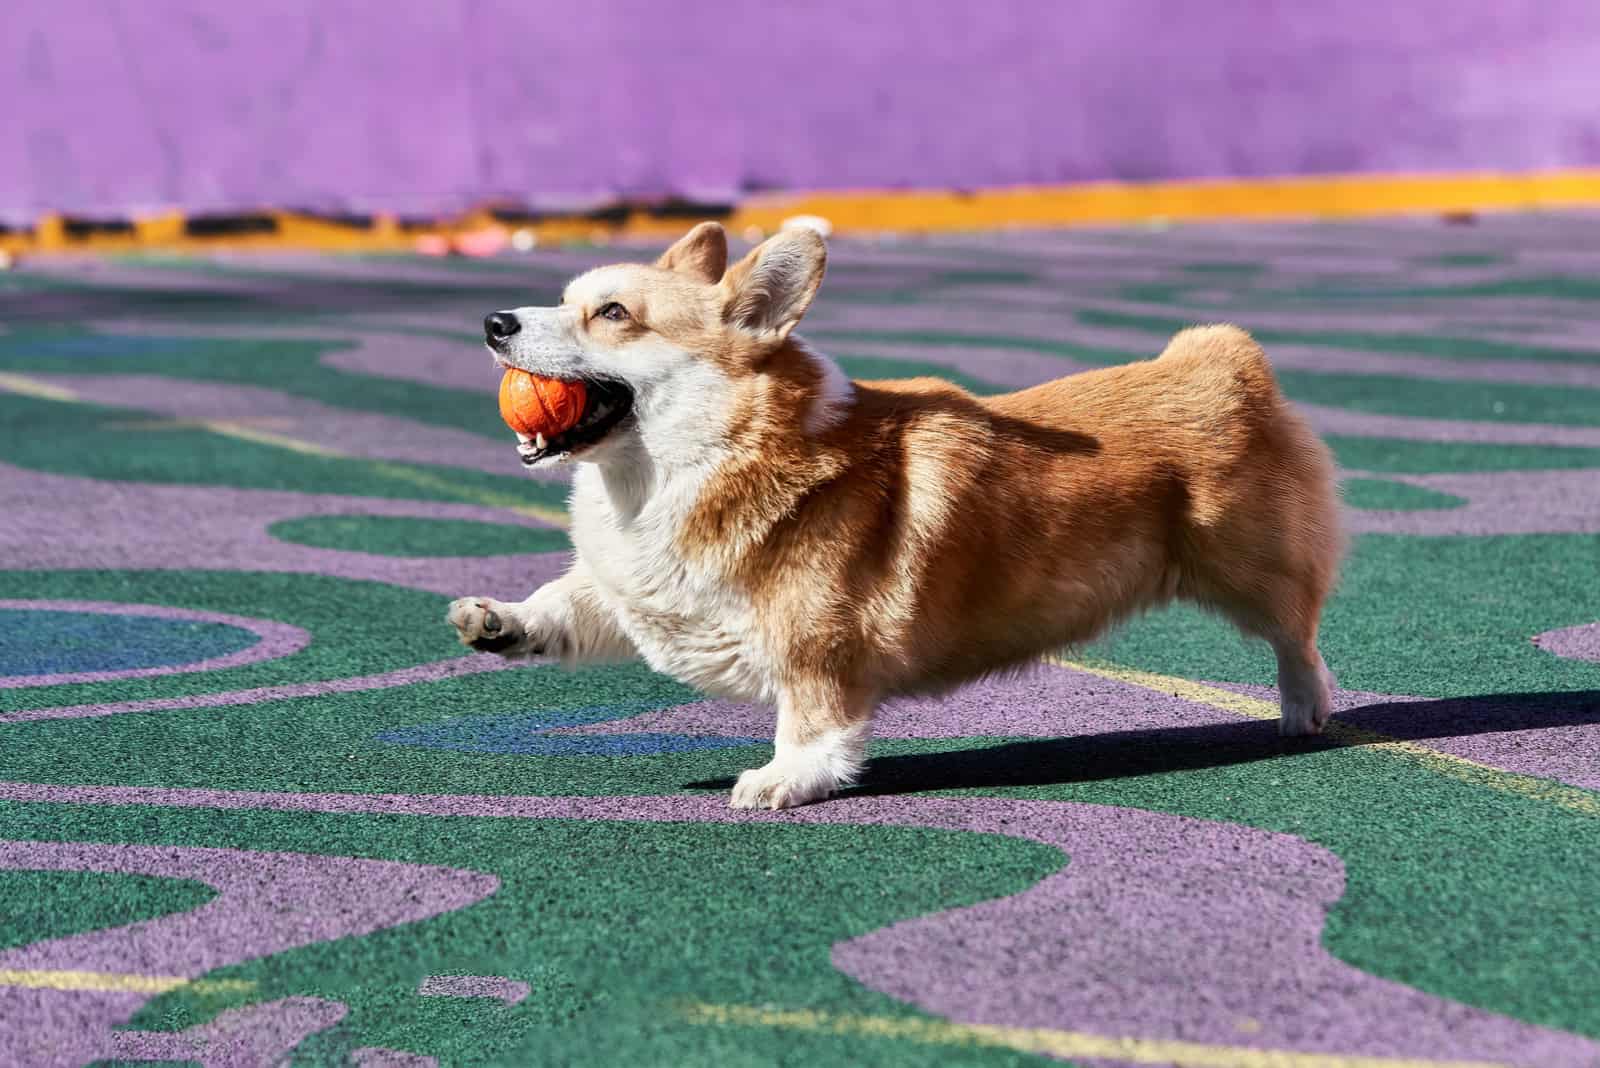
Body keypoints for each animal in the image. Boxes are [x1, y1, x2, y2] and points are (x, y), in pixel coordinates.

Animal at [451, 223, 1350, 808]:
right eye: (563, 300)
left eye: (612, 314)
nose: (493, 322)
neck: (690, 465)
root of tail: (1226, 361)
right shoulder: (637, 590)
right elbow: (568, 602)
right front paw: (499, 620)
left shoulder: (817, 644)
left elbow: (812, 720)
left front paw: (785, 780)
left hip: (1251, 569)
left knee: (1298, 637)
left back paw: (1304, 711)